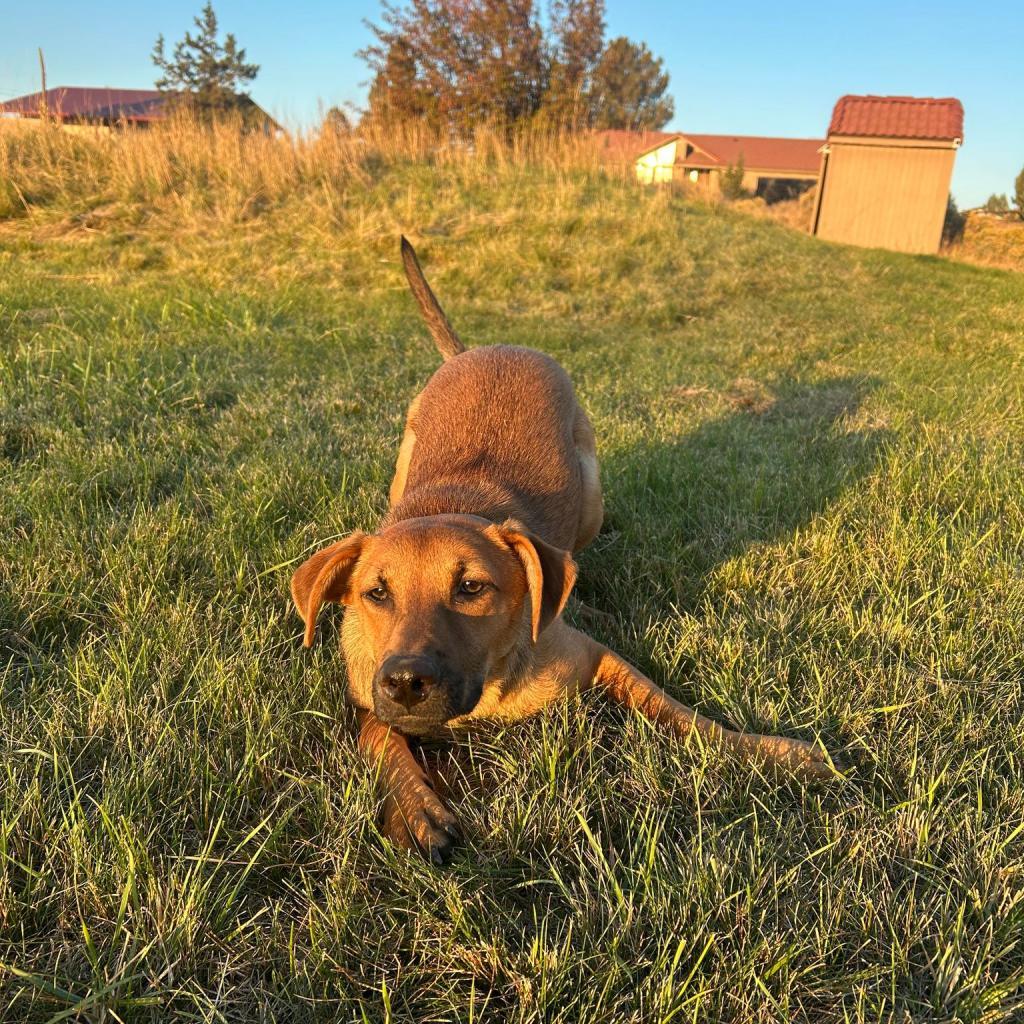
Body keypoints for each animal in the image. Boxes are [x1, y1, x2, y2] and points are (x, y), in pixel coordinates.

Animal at [290, 235, 831, 860]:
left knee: (577, 555)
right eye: (375, 594)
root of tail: (484, 348)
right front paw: (415, 809)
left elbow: (683, 715)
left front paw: (770, 751)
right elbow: (383, 742)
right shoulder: (364, 700)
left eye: (471, 587)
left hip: (591, 489)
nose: (405, 682)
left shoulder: (595, 659)